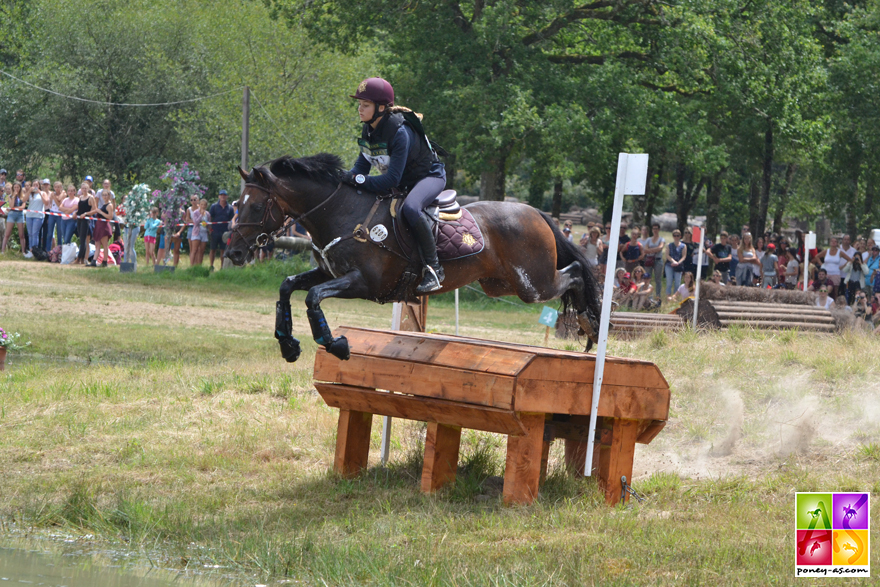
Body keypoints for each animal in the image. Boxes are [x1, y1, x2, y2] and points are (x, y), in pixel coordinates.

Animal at [223, 153, 600, 362]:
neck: (341, 211)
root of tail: (534, 212)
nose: (234, 252)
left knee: (576, 271)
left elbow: (313, 297)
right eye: (236, 205)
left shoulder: (364, 282)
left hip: (532, 284)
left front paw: (337, 345)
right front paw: (287, 345)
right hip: (499, 284)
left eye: (255, 206)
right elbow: (288, 287)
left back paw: (590, 325)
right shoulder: (328, 273)